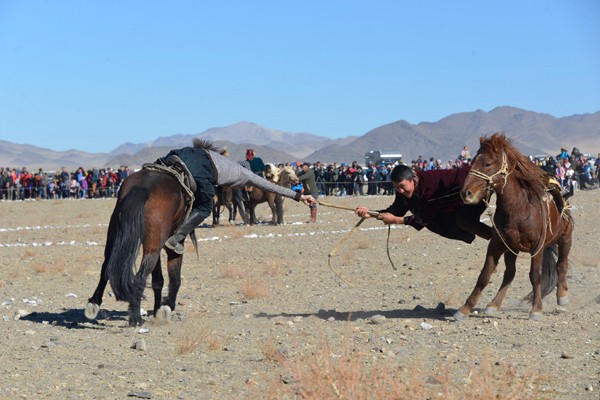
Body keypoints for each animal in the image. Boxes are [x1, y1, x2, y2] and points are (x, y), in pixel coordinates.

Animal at [84, 167, 191, 326]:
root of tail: (143, 187)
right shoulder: (174, 243)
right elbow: (174, 277)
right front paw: (167, 306)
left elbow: (158, 279)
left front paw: (158, 309)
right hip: (153, 247)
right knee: (140, 277)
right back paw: (136, 318)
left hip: (117, 239)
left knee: (106, 269)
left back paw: (93, 304)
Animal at [458, 134, 576, 322]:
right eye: (472, 161)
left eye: (488, 164)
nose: (466, 193)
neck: (520, 208)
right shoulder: (497, 244)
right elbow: (484, 275)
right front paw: (465, 308)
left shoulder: (537, 248)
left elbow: (535, 276)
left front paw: (536, 310)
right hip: (512, 250)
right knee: (510, 273)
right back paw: (494, 305)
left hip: (566, 238)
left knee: (561, 265)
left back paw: (562, 295)